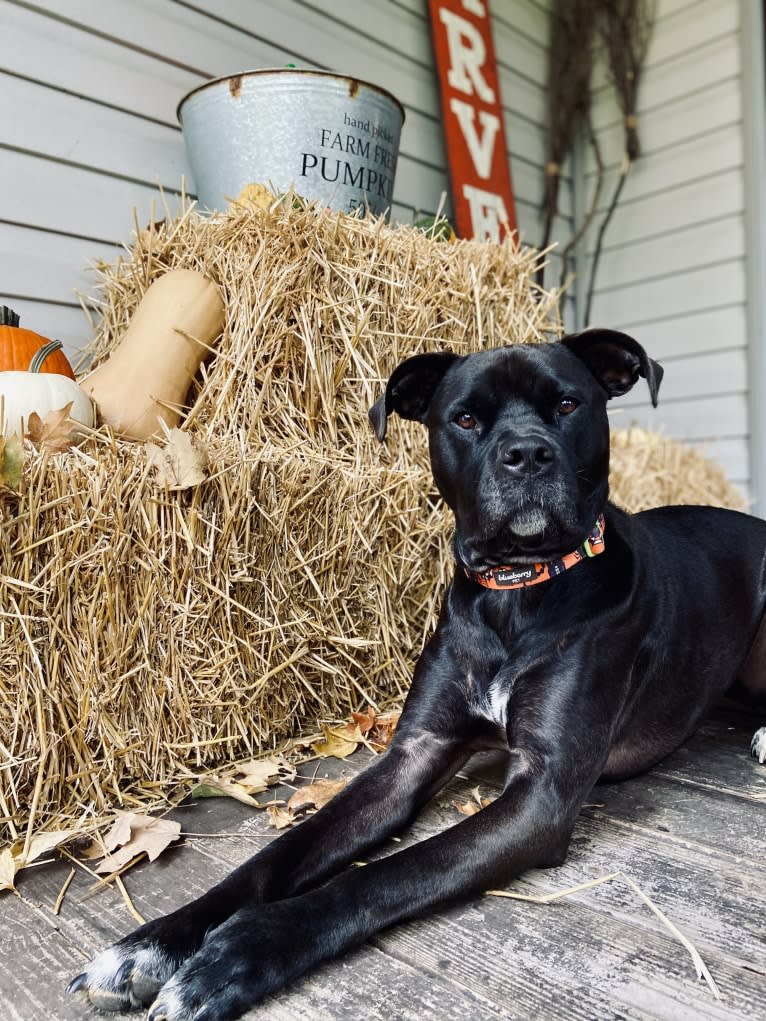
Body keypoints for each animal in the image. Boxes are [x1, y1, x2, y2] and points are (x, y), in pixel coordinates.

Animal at [72, 330, 766, 1016]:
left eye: (568, 405)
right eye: (466, 419)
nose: (527, 455)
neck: (515, 593)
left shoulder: (541, 790)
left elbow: (388, 875)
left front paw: (239, 952)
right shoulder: (413, 754)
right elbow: (277, 855)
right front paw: (154, 943)